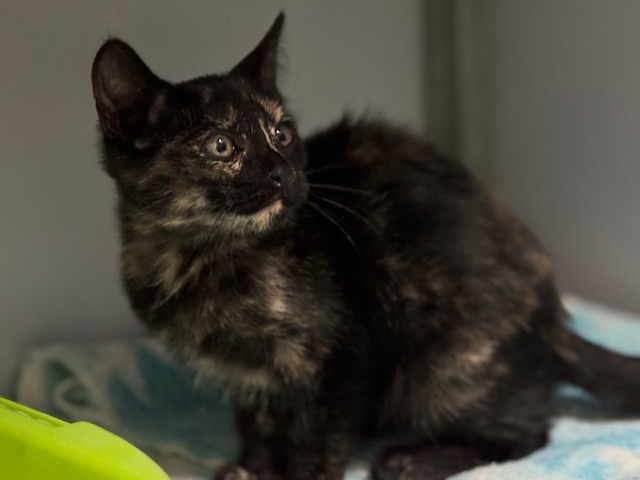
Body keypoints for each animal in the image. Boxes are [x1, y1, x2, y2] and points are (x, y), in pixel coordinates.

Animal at [91, 13, 640, 480]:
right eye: (222, 146)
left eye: (282, 134)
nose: (284, 172)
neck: (198, 254)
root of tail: (553, 317)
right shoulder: (251, 380)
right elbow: (257, 429)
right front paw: (250, 469)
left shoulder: (340, 358)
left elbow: (318, 443)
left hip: (437, 366)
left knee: (529, 432)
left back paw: (415, 460)